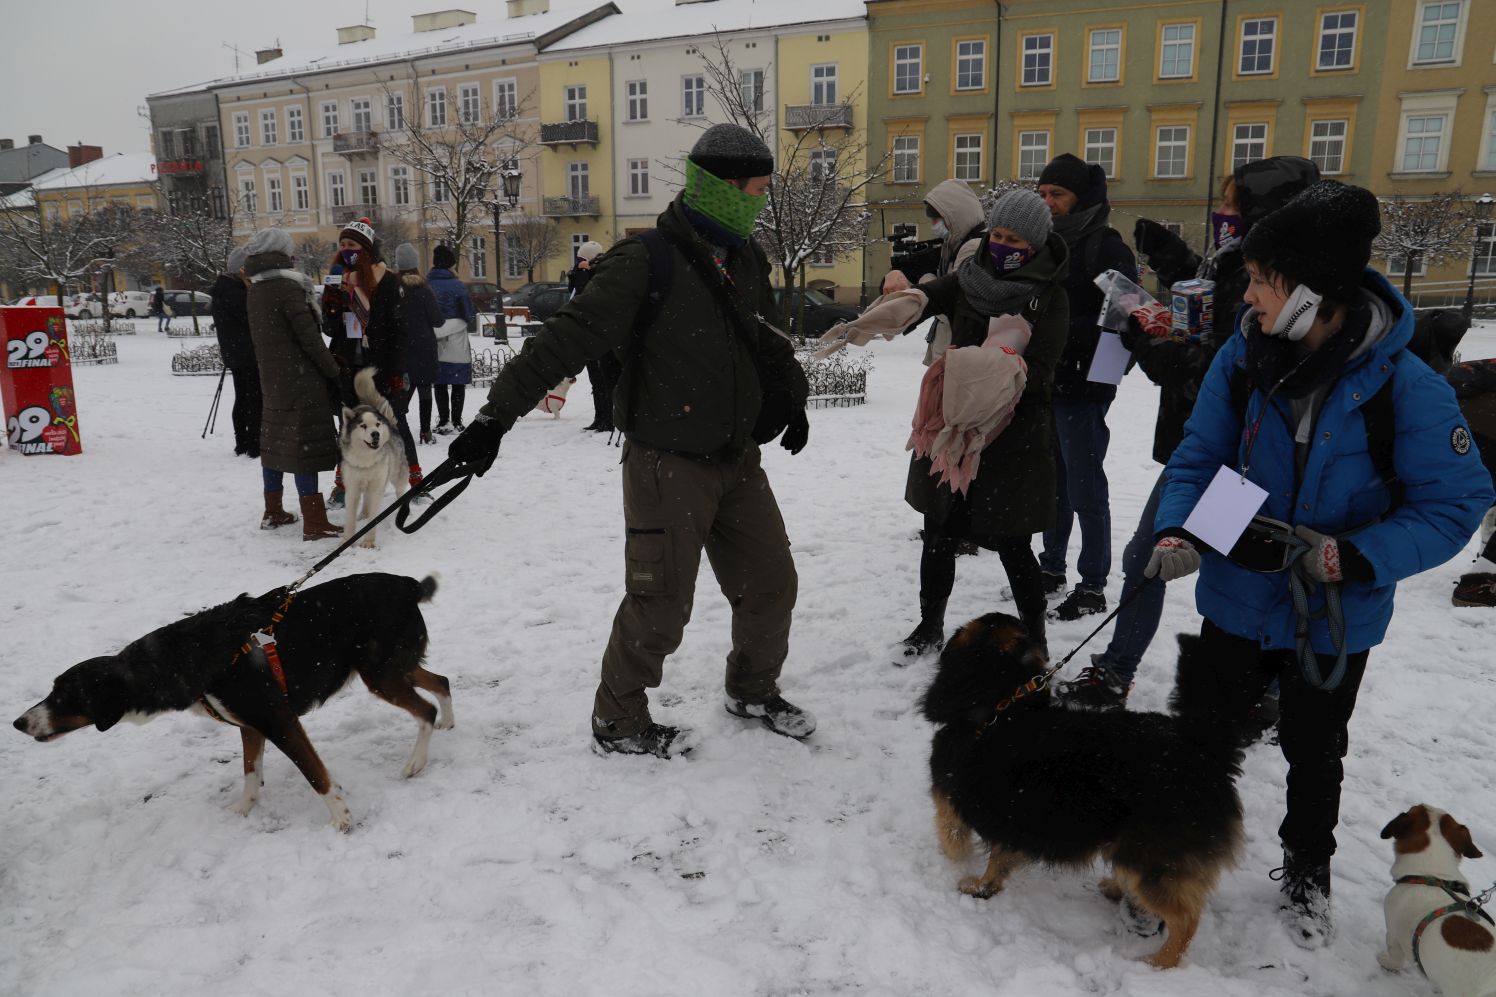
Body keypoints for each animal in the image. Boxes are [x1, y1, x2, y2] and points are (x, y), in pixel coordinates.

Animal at [13, 571, 448, 826]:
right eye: (52, 689)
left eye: (65, 695)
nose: (18, 723)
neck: (181, 659)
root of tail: (408, 585)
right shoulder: (250, 726)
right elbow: (250, 772)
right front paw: (243, 810)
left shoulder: (279, 721)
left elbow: (317, 777)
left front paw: (342, 820)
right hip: (393, 669)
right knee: (441, 683)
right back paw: (450, 723)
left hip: (380, 674)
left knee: (425, 708)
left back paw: (416, 762)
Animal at [341, 366, 409, 547]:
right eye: (363, 426)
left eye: (377, 424)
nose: (376, 434)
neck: (366, 459)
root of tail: (391, 426)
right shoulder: (352, 487)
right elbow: (349, 518)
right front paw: (347, 540)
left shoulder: (377, 486)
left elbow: (374, 517)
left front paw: (368, 542)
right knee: (366, 499)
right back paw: (364, 513)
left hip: (397, 476)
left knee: (401, 492)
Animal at [915, 610, 1244, 964]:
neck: (1001, 705)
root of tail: (1206, 752)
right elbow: (999, 859)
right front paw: (986, 885)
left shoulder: (952, 793)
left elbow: (952, 835)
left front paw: (973, 881)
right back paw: (1118, 889)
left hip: (1153, 860)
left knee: (1186, 920)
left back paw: (1158, 963)